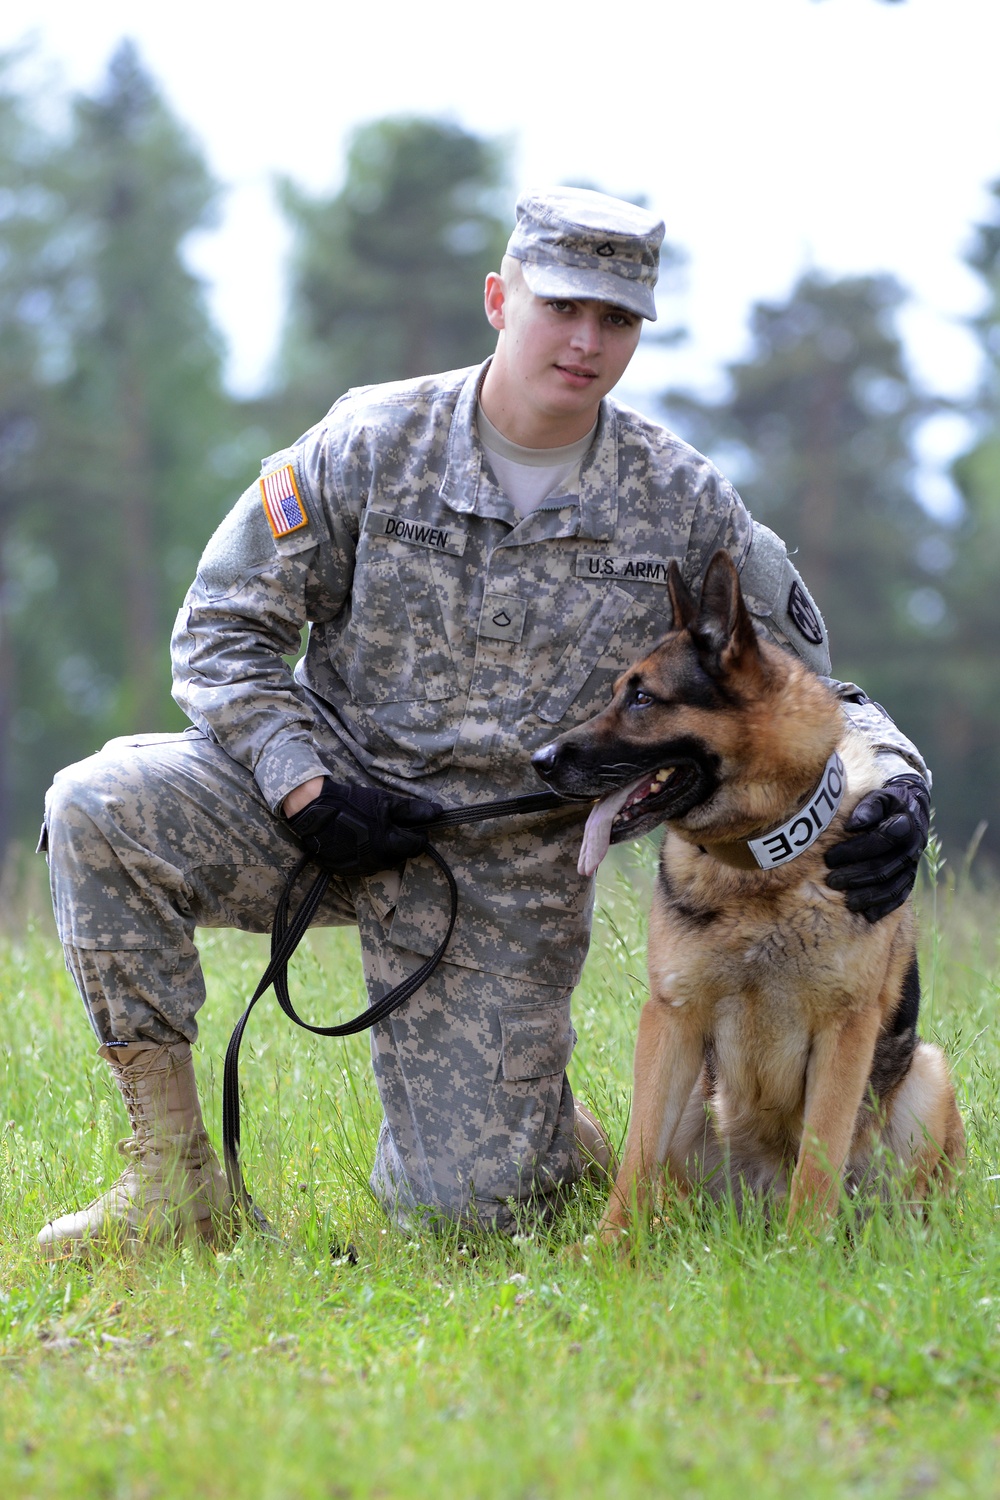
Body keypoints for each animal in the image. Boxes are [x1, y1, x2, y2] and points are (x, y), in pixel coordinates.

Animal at [536, 555, 965, 1242]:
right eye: (618, 691)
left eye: (642, 698)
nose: (538, 760)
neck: (759, 867)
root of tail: (753, 1209)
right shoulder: (670, 1020)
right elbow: (635, 1161)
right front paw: (605, 1254)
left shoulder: (844, 1034)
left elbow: (817, 1167)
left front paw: (804, 1257)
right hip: (695, 1098)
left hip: (927, 1075)